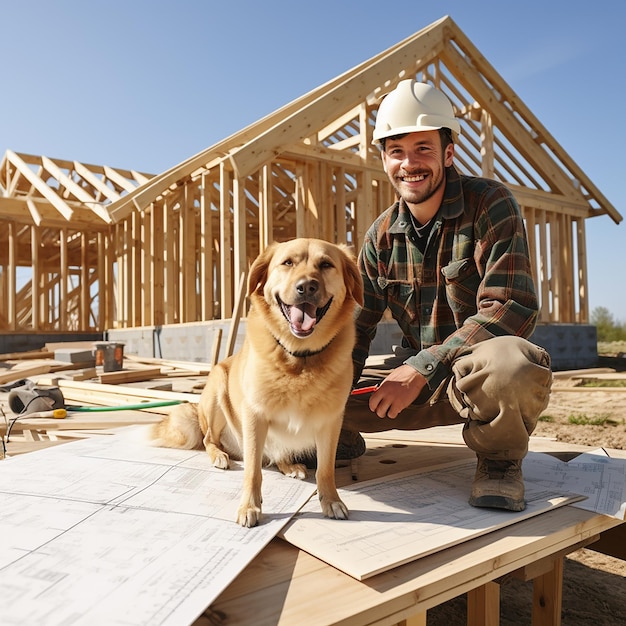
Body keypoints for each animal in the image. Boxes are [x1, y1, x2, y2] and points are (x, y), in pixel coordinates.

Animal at [150, 236, 360, 524]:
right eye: (287, 263)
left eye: (326, 264)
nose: (307, 287)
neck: (299, 357)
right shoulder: (254, 416)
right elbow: (252, 471)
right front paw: (249, 507)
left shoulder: (330, 421)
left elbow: (325, 469)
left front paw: (331, 501)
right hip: (218, 386)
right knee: (208, 440)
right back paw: (220, 456)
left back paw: (289, 465)